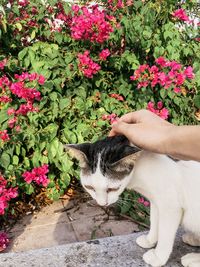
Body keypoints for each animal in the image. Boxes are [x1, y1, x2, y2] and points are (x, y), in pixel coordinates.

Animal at [65, 136, 200, 267]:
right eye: (90, 187)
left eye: (112, 189)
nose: (102, 204)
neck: (139, 170)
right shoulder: (156, 201)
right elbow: (155, 222)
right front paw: (149, 240)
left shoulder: (170, 206)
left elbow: (165, 233)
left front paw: (158, 256)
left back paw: (193, 259)